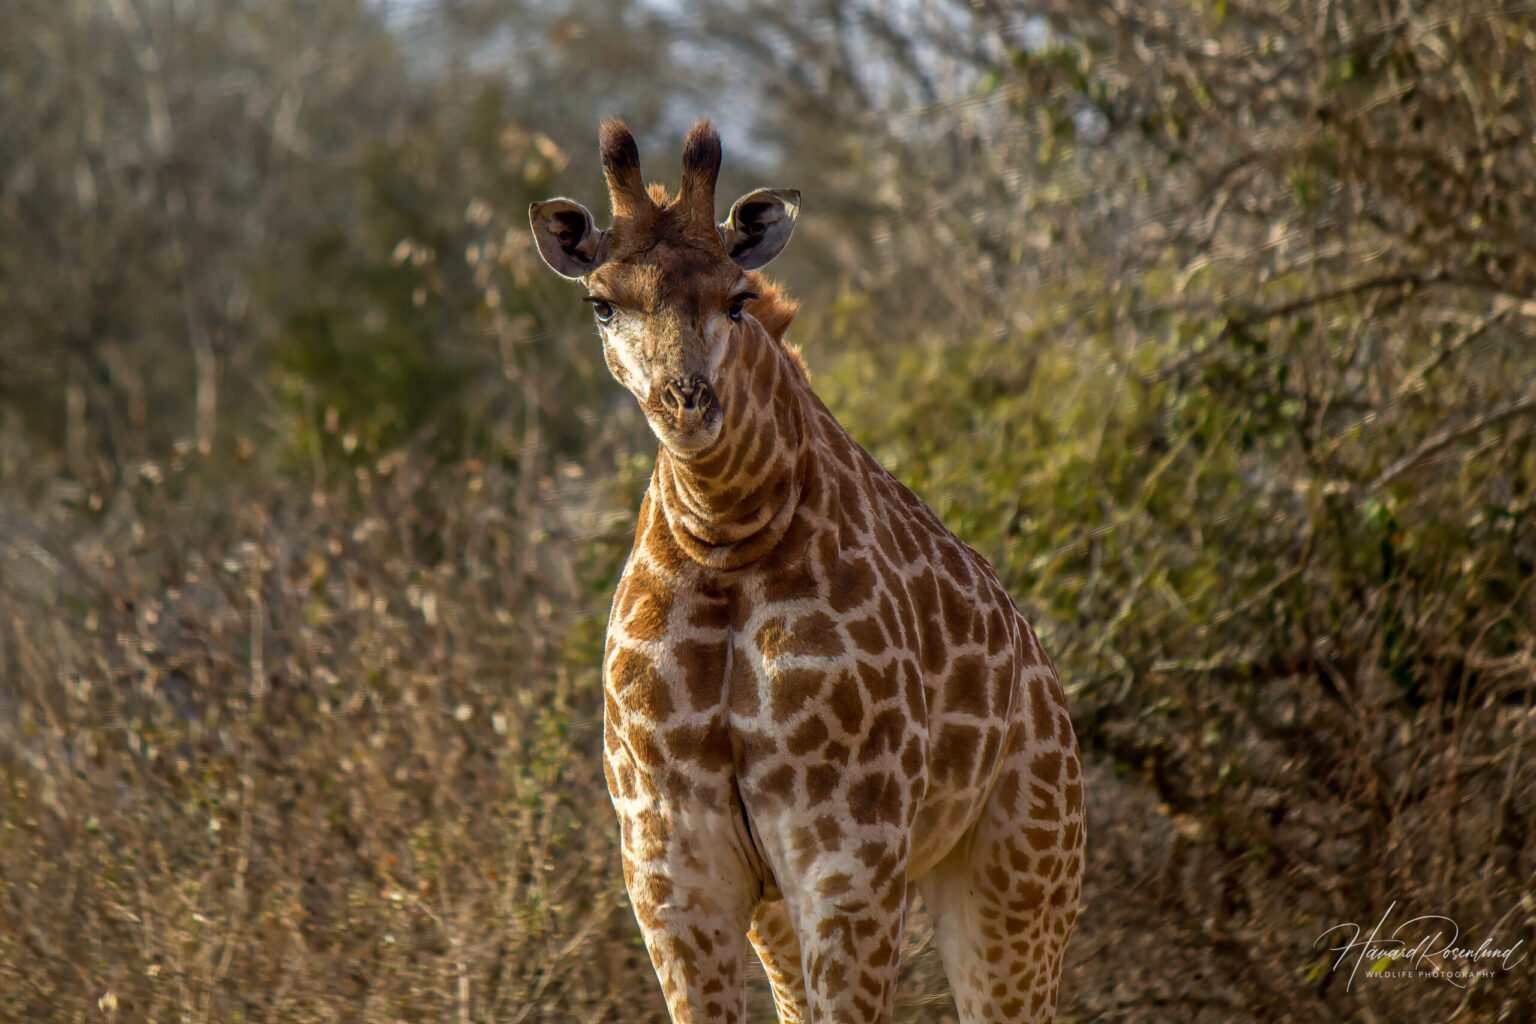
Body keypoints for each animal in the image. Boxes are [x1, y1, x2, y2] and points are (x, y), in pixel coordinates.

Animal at [529, 120, 1084, 1024]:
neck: (725, 535)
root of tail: (1040, 669)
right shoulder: (671, 871)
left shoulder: (848, 857)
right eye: (602, 303)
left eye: (738, 297)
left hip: (1021, 873)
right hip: (782, 909)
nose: (687, 403)